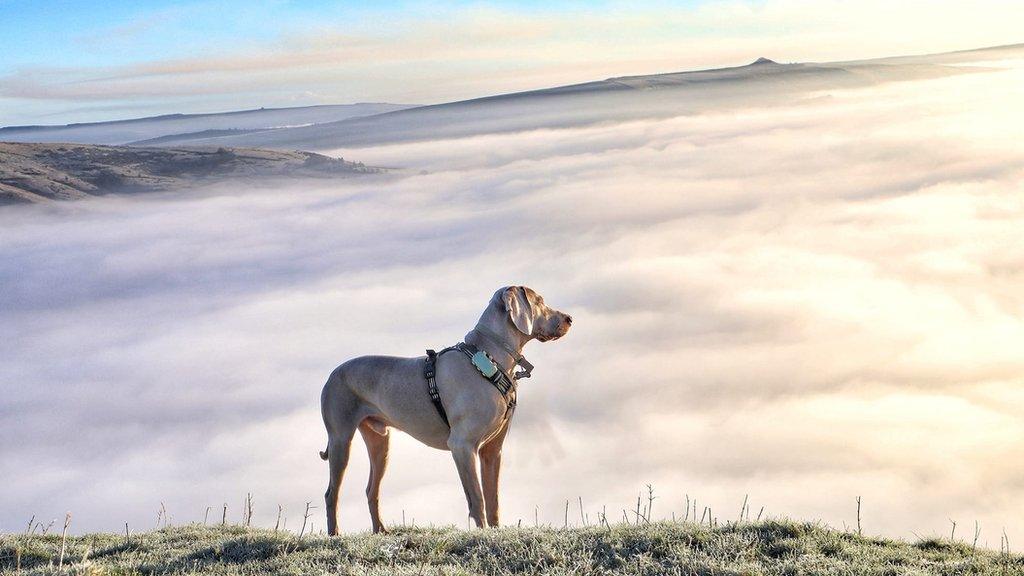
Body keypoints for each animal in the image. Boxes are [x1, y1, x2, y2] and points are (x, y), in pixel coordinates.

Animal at [319, 284, 573, 532]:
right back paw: (334, 535)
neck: (490, 358)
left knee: (372, 490)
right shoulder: (462, 446)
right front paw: (482, 534)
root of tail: (332, 374)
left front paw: (495, 532)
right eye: (539, 301)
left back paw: (380, 530)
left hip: (381, 443)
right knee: (331, 493)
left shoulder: (492, 451)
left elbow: (493, 499)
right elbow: (477, 497)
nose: (569, 318)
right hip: (341, 439)